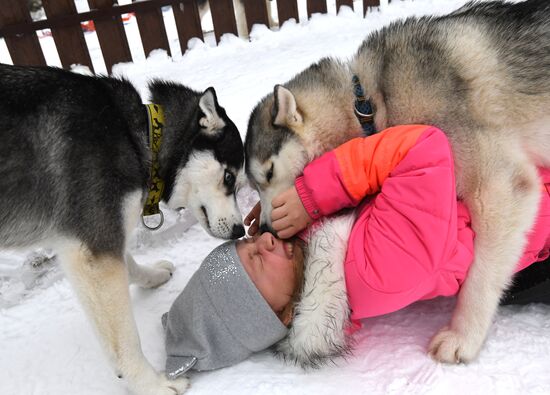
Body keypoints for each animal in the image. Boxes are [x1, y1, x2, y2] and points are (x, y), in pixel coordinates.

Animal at [0, 65, 246, 395]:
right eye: (230, 178)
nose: (240, 230)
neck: (140, 137)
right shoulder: (94, 250)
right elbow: (125, 339)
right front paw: (152, 384)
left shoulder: (98, 235)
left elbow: (128, 262)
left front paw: (151, 276)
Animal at [247, 0, 550, 366]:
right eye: (255, 184)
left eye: (268, 174)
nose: (266, 229)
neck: (368, 102)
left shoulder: (499, 186)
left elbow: (482, 273)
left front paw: (463, 336)